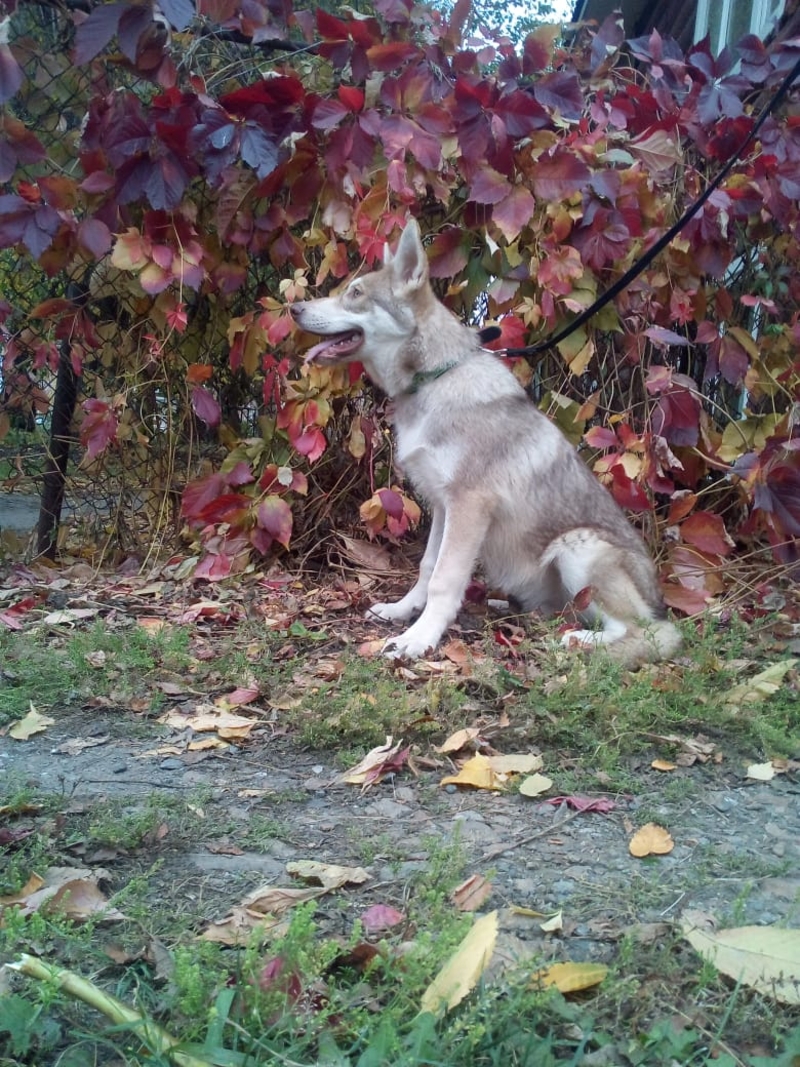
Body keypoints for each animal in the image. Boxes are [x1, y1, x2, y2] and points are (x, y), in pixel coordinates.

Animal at [290, 218, 682, 665]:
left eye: (355, 293)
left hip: (579, 549)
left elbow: (444, 579)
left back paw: (581, 641)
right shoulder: (443, 506)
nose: (294, 309)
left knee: (653, 633)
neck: (435, 378)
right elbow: (428, 567)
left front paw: (418, 638)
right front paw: (402, 611)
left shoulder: (468, 506)